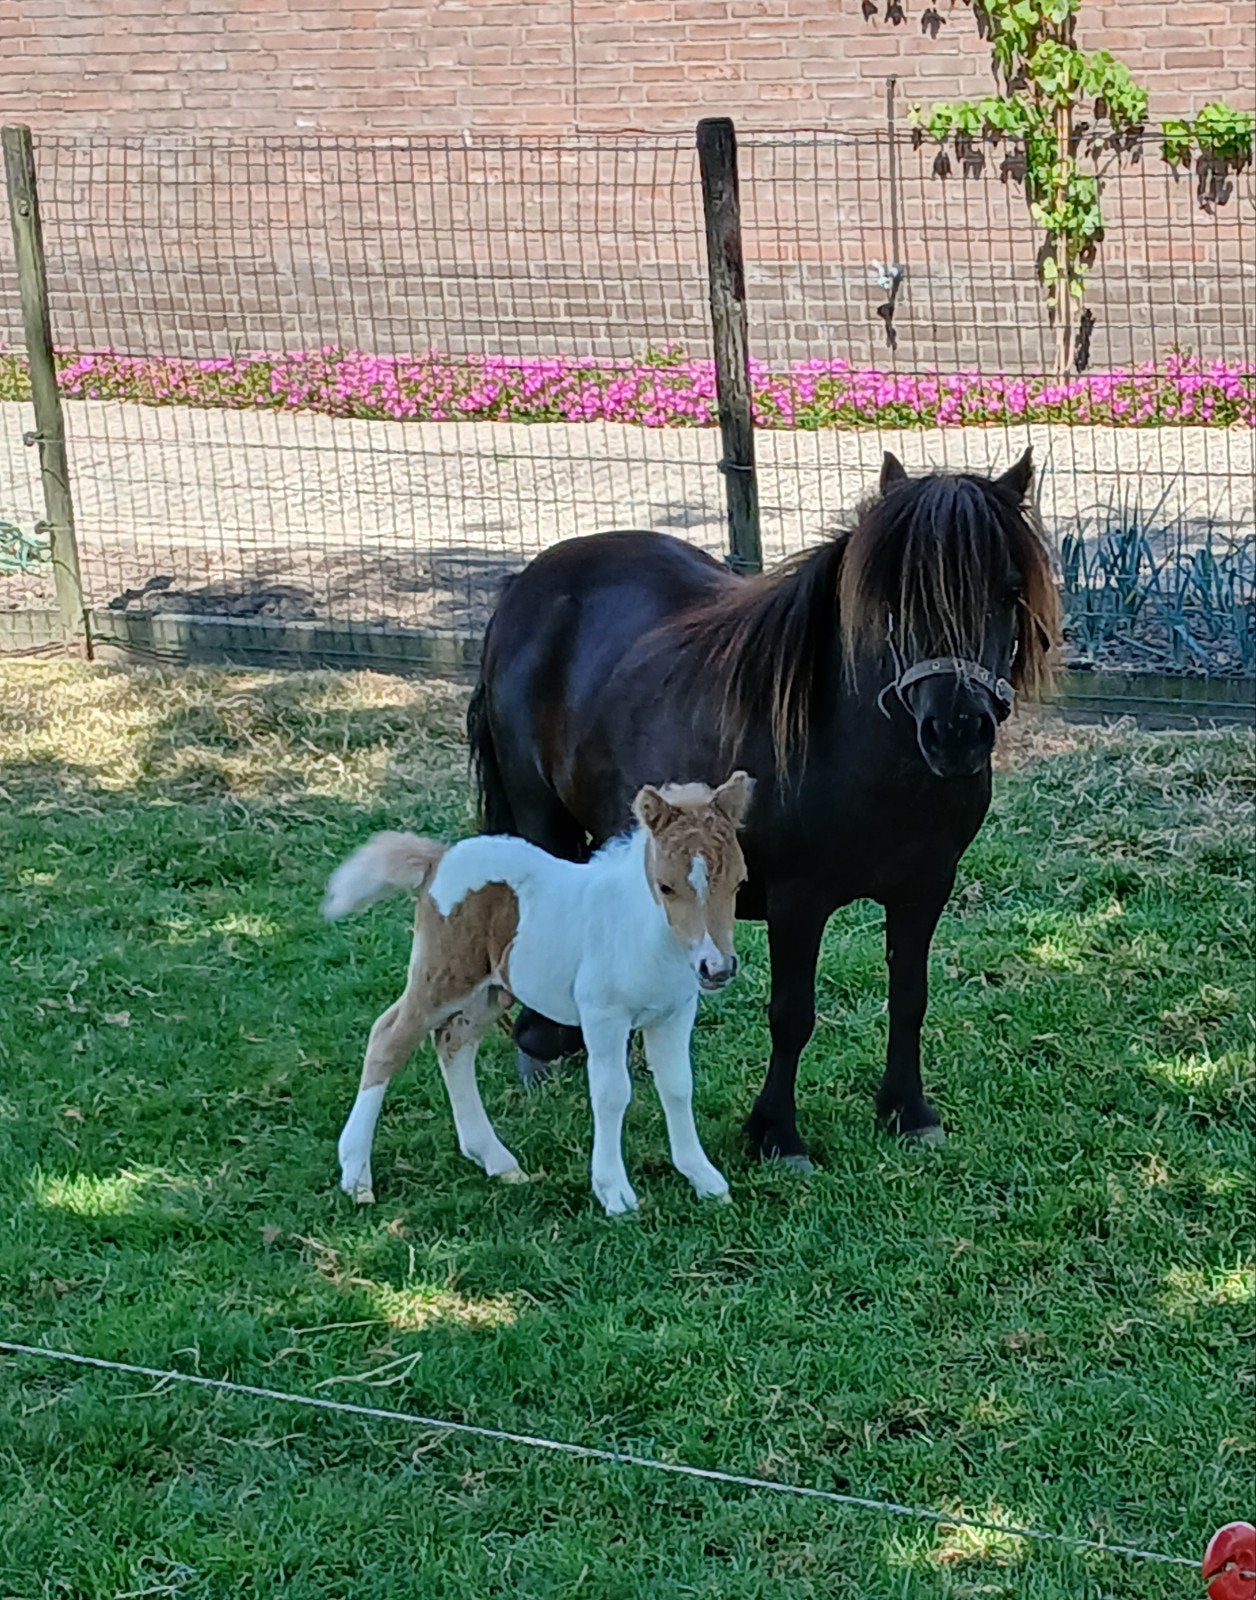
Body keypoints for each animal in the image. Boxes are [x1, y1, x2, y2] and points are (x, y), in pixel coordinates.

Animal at [324, 772, 752, 1213]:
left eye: (740, 882)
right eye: (665, 887)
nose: (716, 968)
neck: (645, 932)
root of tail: (438, 860)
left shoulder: (675, 1013)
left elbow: (678, 1087)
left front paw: (703, 1178)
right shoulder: (603, 1015)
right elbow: (612, 1093)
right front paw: (614, 1191)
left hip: (491, 992)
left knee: (453, 1043)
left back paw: (495, 1160)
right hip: (444, 976)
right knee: (388, 1039)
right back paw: (356, 1175)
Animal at [466, 449, 1060, 1167]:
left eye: (1009, 589)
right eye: (895, 598)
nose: (957, 731)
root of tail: (524, 586)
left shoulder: (925, 890)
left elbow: (910, 998)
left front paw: (907, 1112)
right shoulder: (797, 901)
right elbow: (792, 1013)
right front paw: (777, 1134)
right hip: (540, 814)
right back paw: (543, 1048)